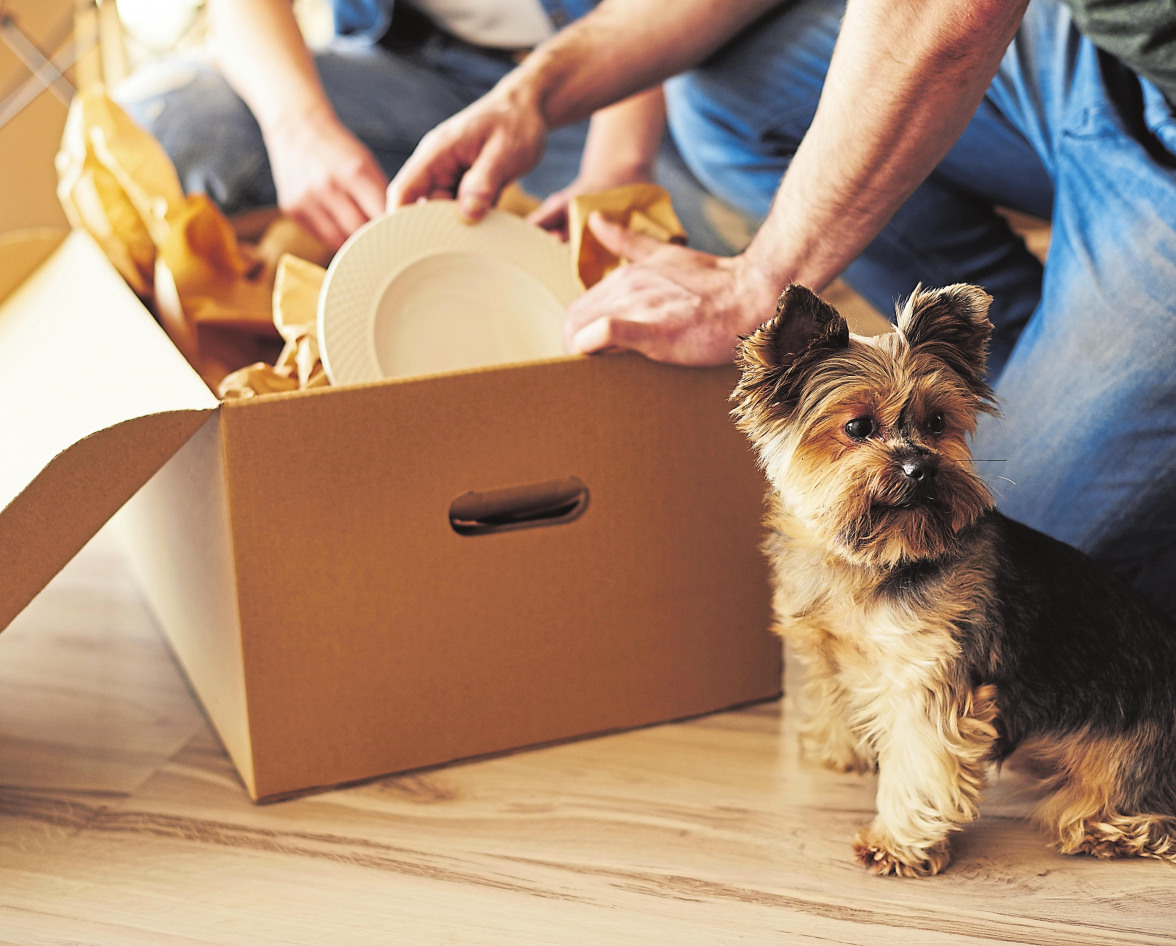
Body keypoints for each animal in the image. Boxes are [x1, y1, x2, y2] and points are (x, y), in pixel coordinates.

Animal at [729, 284, 1176, 875]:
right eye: (858, 427)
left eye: (938, 422)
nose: (922, 467)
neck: (873, 558)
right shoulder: (832, 648)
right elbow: (836, 692)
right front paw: (839, 749)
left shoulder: (929, 672)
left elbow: (920, 760)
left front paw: (896, 843)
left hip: (1128, 755)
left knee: (1120, 814)